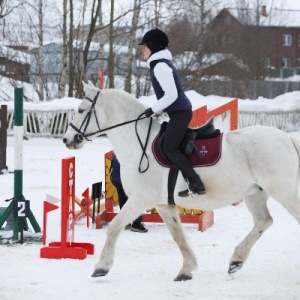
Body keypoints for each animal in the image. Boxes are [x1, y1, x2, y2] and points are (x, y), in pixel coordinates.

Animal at [62, 81, 300, 282]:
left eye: (81, 110)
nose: (67, 140)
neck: (139, 143)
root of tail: (287, 138)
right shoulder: (164, 205)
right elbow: (179, 237)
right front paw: (186, 270)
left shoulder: (140, 199)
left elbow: (114, 227)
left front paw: (101, 267)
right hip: (254, 193)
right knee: (263, 221)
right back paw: (236, 261)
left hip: (284, 191)